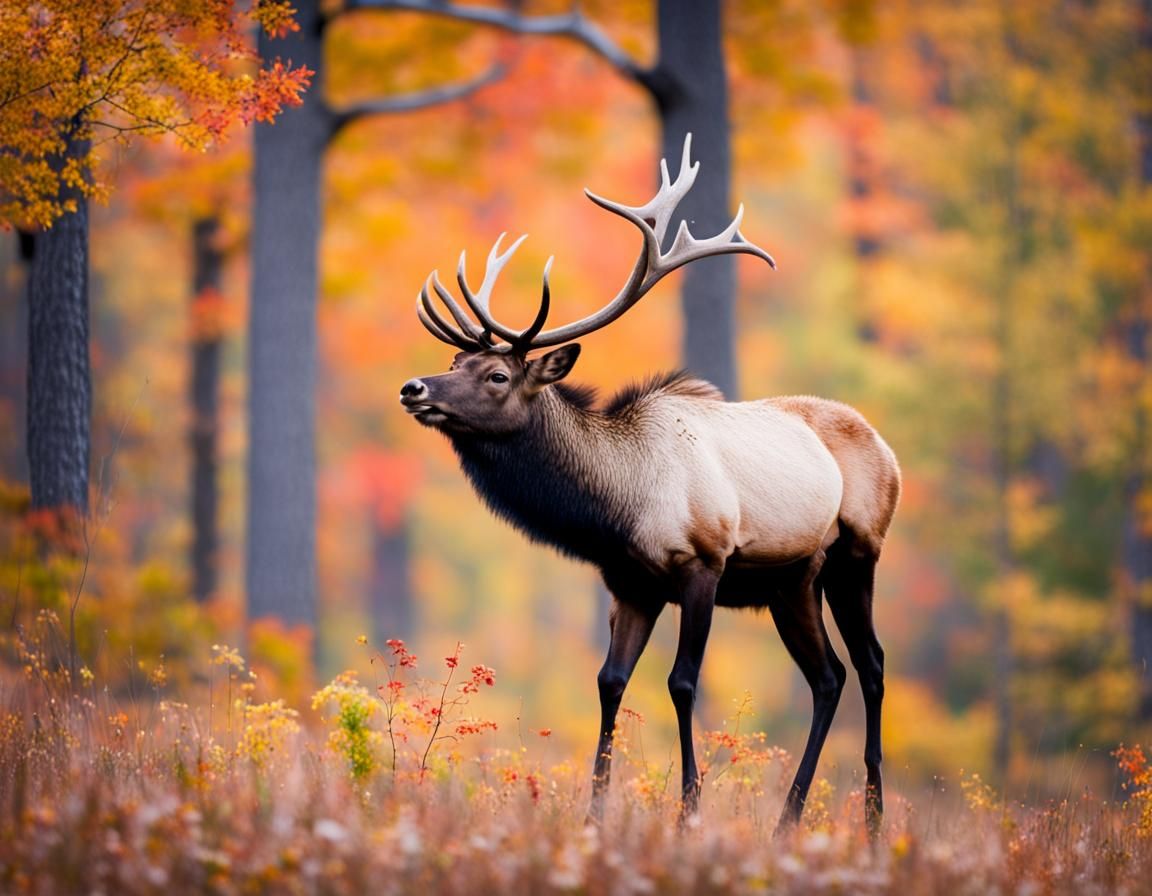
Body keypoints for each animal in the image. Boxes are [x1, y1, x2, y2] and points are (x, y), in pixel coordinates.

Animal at [399, 135, 900, 837]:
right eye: (454, 360)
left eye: (497, 375)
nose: (413, 387)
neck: (618, 507)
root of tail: (889, 452)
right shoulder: (630, 582)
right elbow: (610, 681)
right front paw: (595, 812)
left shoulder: (704, 561)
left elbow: (682, 683)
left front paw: (689, 812)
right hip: (791, 581)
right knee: (828, 677)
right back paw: (789, 819)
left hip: (857, 553)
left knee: (872, 665)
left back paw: (875, 821)